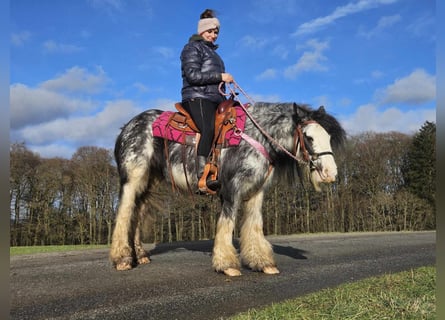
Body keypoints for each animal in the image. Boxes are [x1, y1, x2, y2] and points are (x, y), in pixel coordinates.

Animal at [109, 101, 346, 276]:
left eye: (328, 137)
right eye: (309, 137)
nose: (331, 174)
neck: (254, 137)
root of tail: (127, 127)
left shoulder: (256, 192)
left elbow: (254, 225)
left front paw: (262, 262)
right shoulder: (231, 190)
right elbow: (227, 224)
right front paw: (228, 264)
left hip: (148, 182)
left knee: (137, 213)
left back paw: (140, 255)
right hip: (133, 179)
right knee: (124, 212)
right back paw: (122, 259)